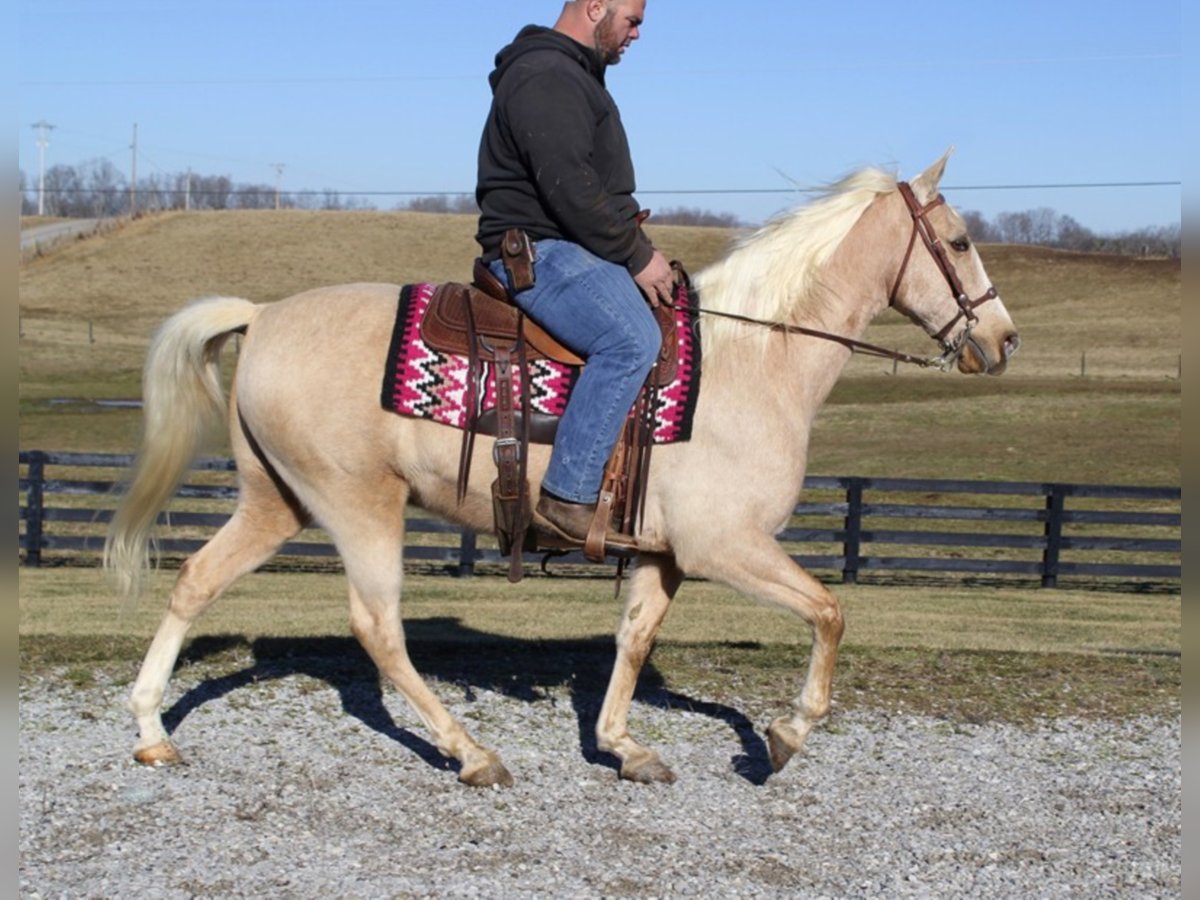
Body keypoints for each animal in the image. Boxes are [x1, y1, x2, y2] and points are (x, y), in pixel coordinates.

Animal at [105, 151, 1022, 787]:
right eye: (958, 240)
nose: (1003, 339)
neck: (755, 359)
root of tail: (261, 316)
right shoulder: (727, 547)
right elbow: (829, 613)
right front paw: (788, 734)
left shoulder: (662, 555)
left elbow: (634, 639)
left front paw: (623, 746)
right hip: (360, 507)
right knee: (379, 632)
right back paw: (472, 753)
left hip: (276, 503)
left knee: (195, 580)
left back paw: (152, 731)